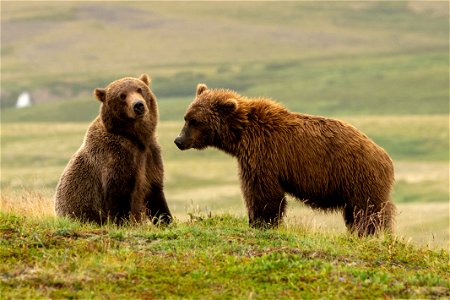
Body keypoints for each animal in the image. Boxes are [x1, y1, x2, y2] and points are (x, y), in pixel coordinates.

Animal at [53, 74, 172, 225]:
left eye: (139, 89)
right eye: (122, 95)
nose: (138, 105)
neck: (135, 137)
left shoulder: (150, 155)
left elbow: (155, 193)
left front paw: (167, 221)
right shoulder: (116, 156)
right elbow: (119, 197)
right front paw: (124, 223)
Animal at [174, 83, 396, 236]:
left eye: (195, 121)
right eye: (186, 117)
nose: (178, 140)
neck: (241, 135)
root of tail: (386, 157)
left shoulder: (264, 155)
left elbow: (263, 193)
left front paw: (261, 222)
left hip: (358, 174)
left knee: (369, 209)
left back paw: (371, 232)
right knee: (355, 212)